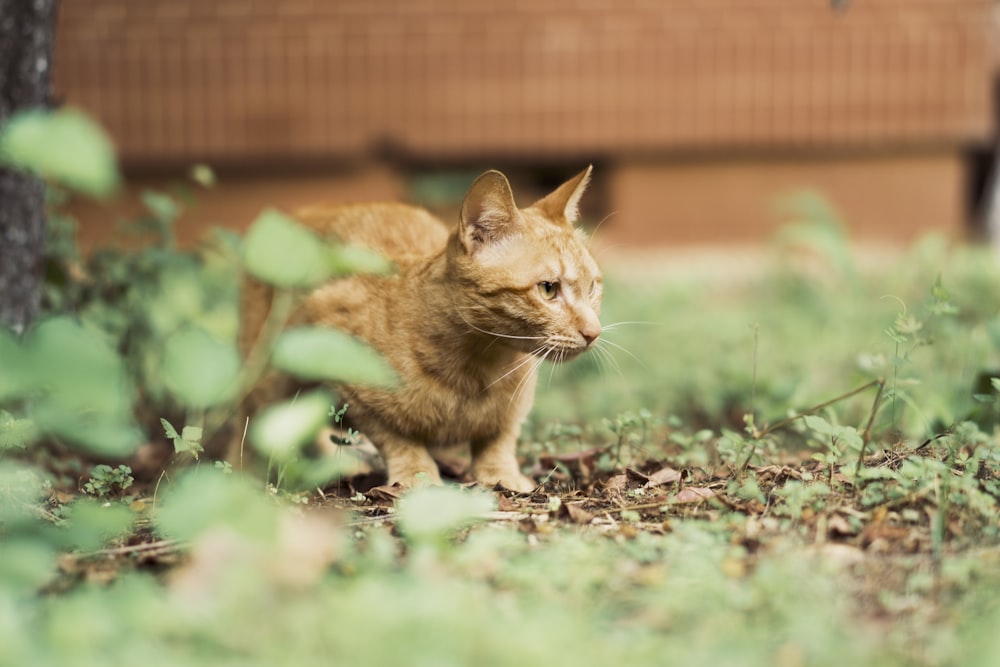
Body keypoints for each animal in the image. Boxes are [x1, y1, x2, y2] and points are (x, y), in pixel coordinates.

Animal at [242, 167, 600, 490]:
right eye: (548, 289)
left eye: (593, 287)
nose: (594, 332)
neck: (477, 369)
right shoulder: (342, 354)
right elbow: (397, 438)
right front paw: (417, 476)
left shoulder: (515, 406)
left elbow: (499, 438)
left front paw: (502, 475)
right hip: (269, 381)